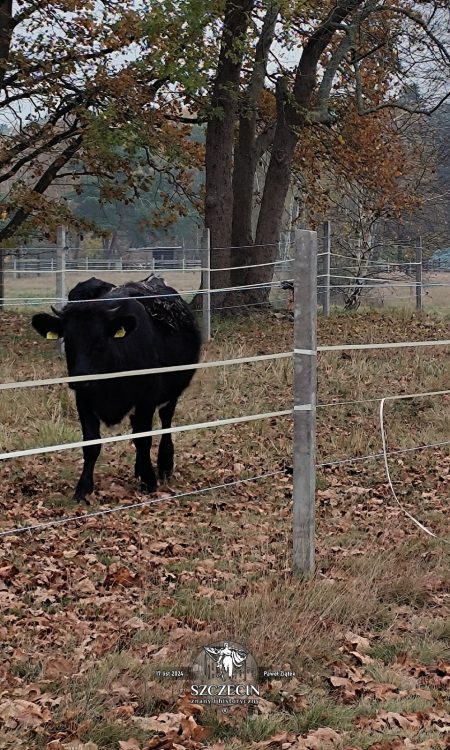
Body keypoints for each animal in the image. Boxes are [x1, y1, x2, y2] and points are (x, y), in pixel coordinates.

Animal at [31, 274, 200, 500]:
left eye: (100, 340)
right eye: (68, 340)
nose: (80, 378)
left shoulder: (146, 399)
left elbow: (143, 439)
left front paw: (149, 481)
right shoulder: (83, 400)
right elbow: (91, 444)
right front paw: (83, 488)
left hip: (173, 391)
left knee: (166, 421)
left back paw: (164, 466)